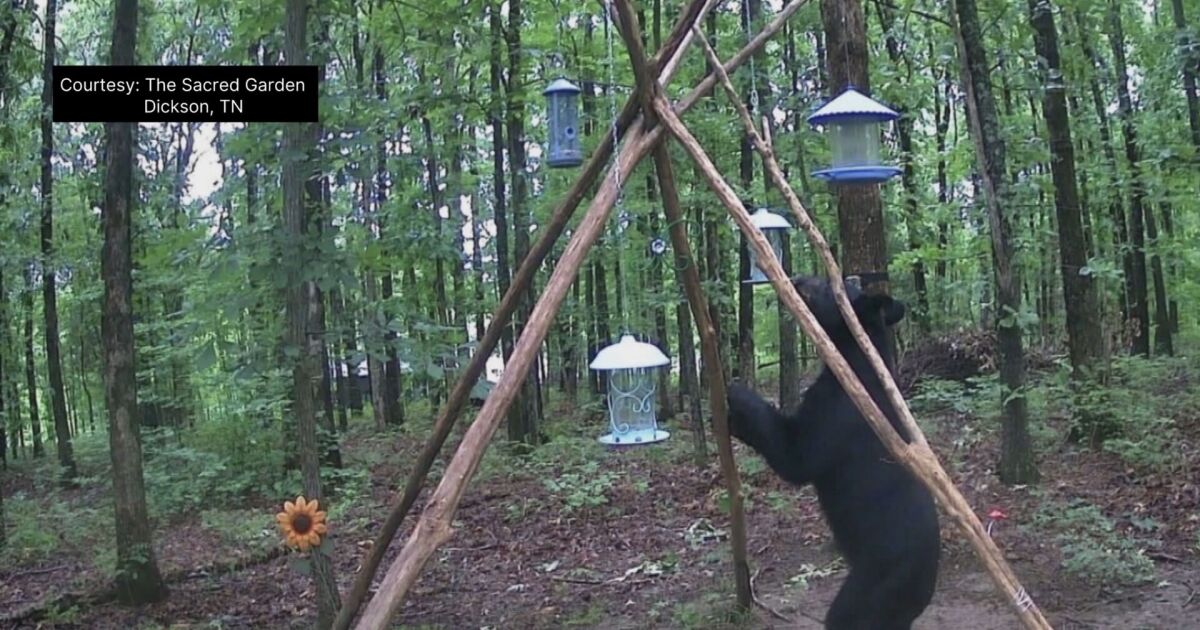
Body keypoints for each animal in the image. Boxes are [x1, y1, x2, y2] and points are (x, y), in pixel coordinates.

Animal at [725, 275, 939, 630]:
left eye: (826, 284)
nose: (798, 278)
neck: (854, 361)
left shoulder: (837, 412)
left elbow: (796, 454)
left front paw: (736, 394)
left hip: (875, 582)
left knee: (847, 615)